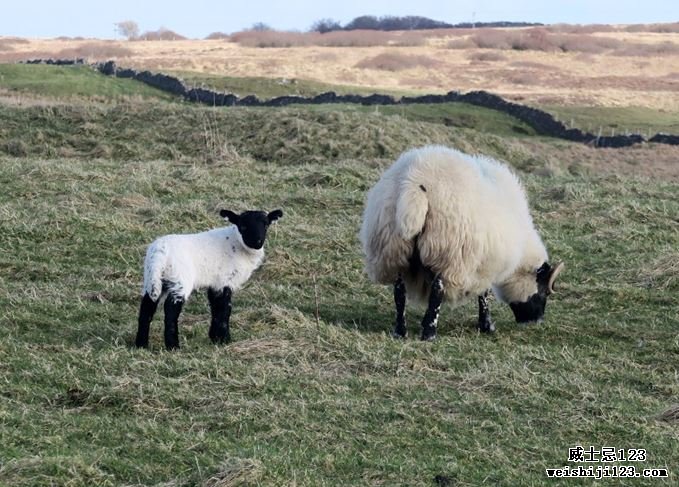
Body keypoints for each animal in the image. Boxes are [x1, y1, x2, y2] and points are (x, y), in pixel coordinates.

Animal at [135, 210, 284, 350]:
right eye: (243, 226)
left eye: (266, 225)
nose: (257, 242)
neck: (237, 244)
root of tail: (159, 255)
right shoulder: (225, 280)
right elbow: (225, 309)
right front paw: (225, 339)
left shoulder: (216, 283)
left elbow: (215, 307)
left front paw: (214, 338)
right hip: (179, 279)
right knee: (171, 309)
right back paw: (173, 346)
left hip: (152, 279)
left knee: (147, 308)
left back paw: (141, 344)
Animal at [358, 147, 564, 342]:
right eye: (544, 291)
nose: (536, 321)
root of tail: (415, 185)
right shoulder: (484, 264)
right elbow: (484, 295)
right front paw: (486, 325)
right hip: (447, 250)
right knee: (437, 290)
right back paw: (429, 334)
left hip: (394, 248)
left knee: (399, 290)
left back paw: (400, 332)